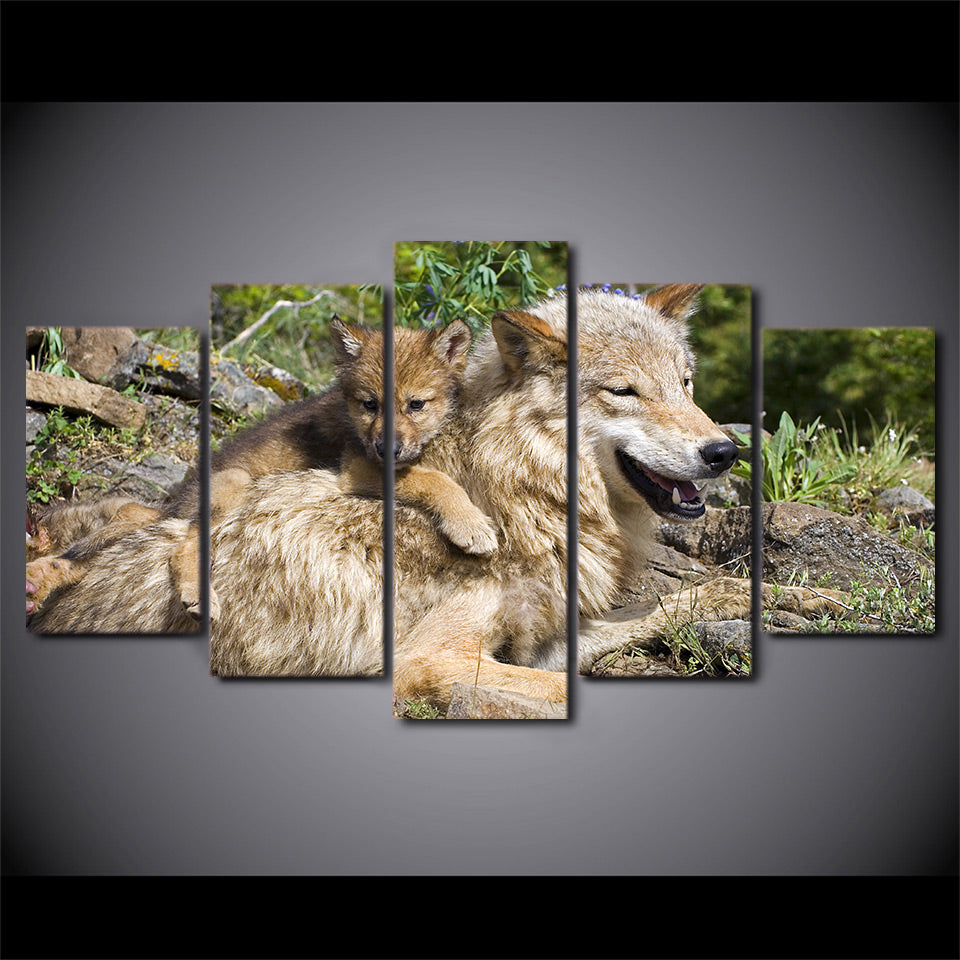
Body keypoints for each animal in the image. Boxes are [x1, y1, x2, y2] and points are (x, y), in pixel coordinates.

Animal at [26, 316, 496, 626]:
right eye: (370, 404)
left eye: (416, 404)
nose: (388, 448)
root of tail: (178, 502)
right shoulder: (358, 467)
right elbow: (435, 479)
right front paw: (471, 524)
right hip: (233, 485)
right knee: (180, 545)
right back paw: (197, 596)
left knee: (127, 525)